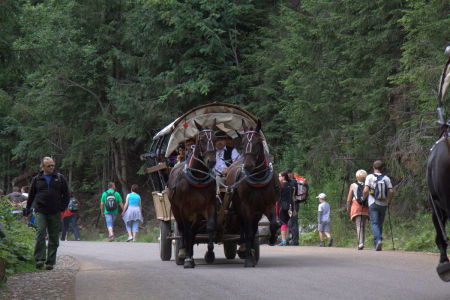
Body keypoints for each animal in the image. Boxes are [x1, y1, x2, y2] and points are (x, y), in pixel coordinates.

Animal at [169, 120, 218, 268]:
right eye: (201, 140)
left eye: (215, 139)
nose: (211, 161)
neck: (198, 177)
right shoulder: (184, 210)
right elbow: (186, 231)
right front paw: (187, 258)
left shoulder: (209, 206)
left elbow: (210, 226)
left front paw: (210, 252)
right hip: (176, 210)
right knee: (183, 230)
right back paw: (183, 252)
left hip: (197, 214)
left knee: (194, 230)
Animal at [227, 119, 280, 268]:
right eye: (243, 142)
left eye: (258, 142)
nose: (248, 166)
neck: (258, 178)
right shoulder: (246, 208)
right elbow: (249, 233)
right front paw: (248, 260)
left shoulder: (269, 205)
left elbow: (273, 224)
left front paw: (272, 238)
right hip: (241, 210)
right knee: (245, 230)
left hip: (256, 212)